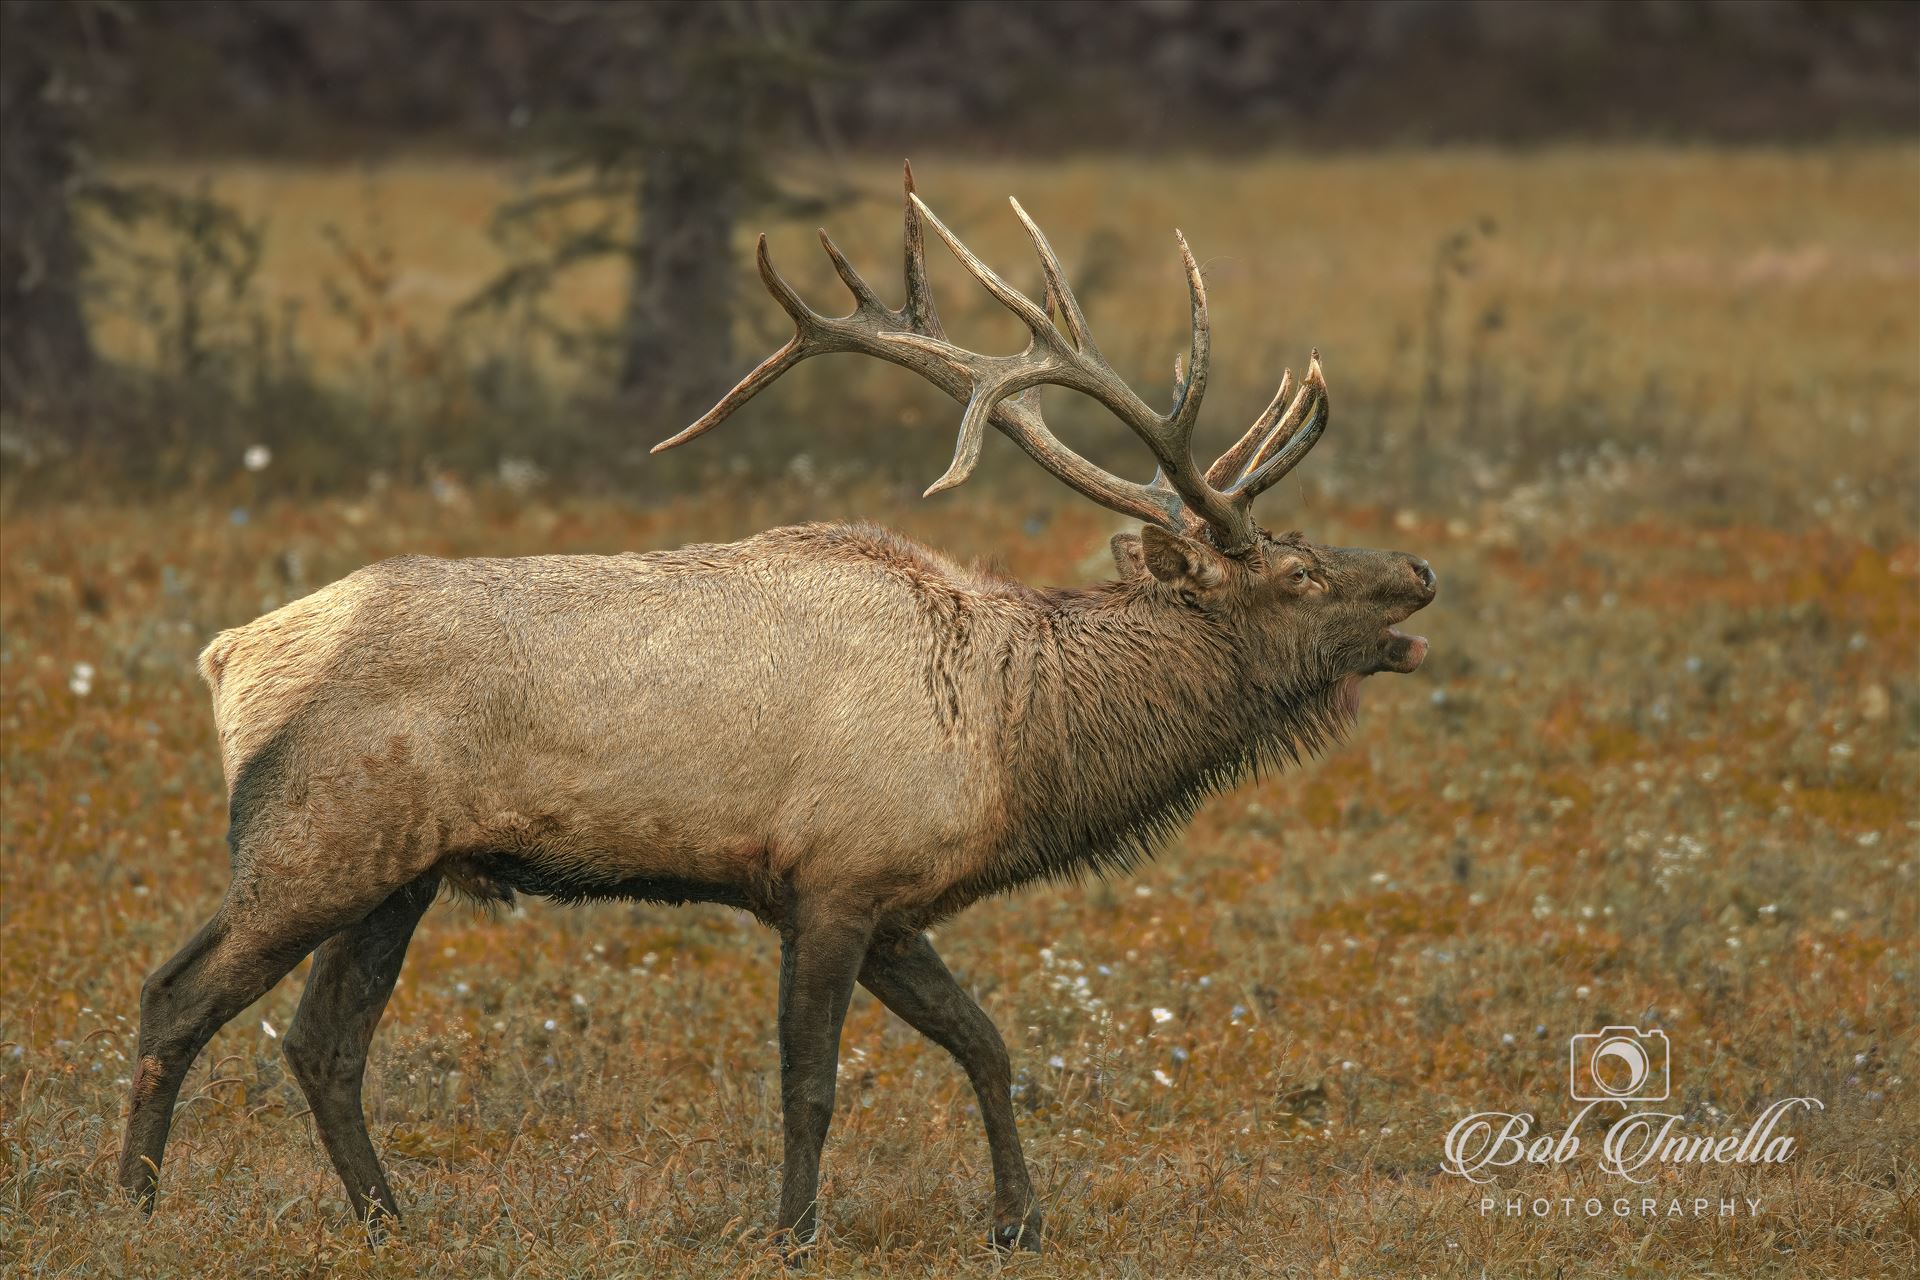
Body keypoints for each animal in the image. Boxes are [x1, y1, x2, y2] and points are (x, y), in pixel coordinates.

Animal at [120, 165, 1436, 1258]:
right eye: (1300, 572)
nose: (1419, 571)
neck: (1013, 741)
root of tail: (231, 655)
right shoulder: (832, 877)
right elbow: (813, 1079)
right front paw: (793, 1231)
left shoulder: (893, 896)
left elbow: (988, 1040)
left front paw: (1019, 1220)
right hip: (316, 840)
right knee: (181, 993)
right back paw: (136, 1201)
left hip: (396, 868)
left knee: (320, 1041)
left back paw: (391, 1218)